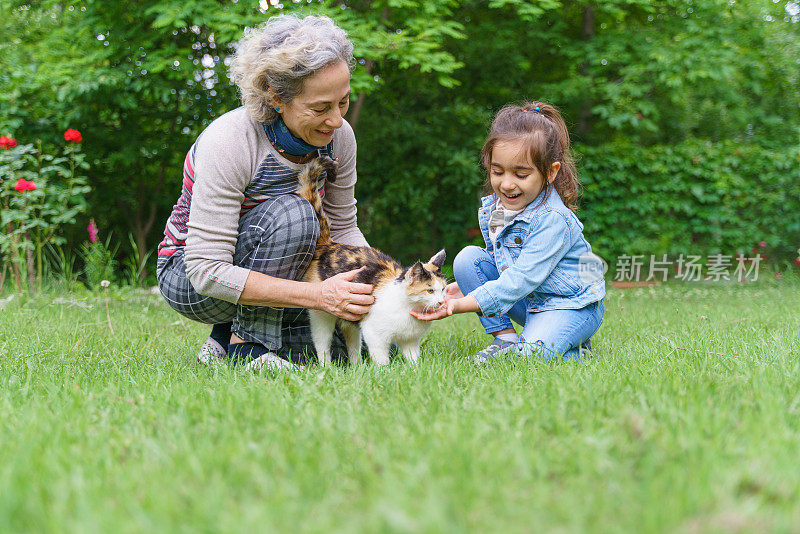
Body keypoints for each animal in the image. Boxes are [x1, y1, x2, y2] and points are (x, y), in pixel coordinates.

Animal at [296, 157, 444, 366]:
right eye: (430, 290)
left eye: (443, 289)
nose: (441, 302)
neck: (408, 307)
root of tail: (329, 244)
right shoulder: (374, 333)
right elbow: (381, 359)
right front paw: (385, 372)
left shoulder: (410, 341)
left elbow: (414, 360)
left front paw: (416, 370)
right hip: (322, 314)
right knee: (322, 344)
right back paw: (328, 368)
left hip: (350, 316)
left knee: (353, 344)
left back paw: (358, 368)